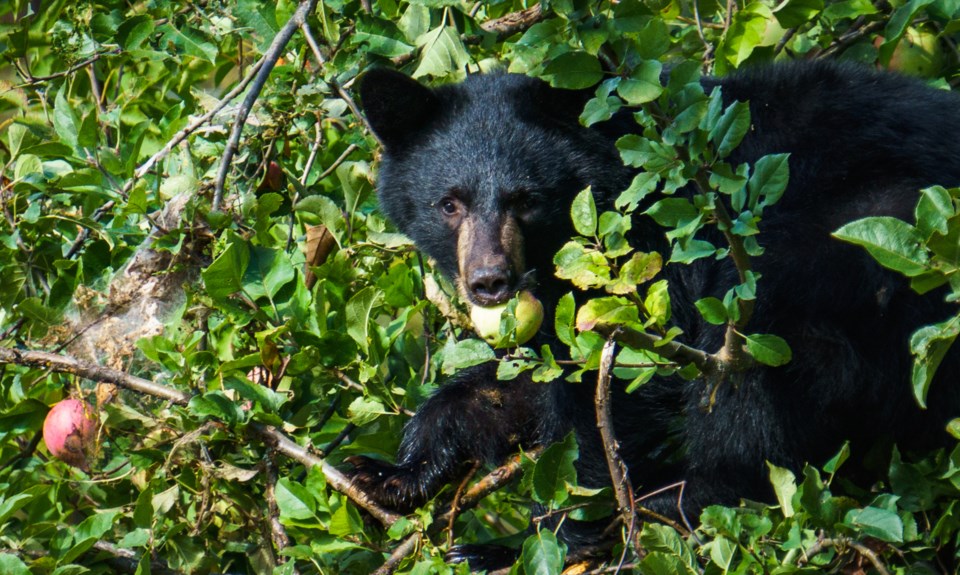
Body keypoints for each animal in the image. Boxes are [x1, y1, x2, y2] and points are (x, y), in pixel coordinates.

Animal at [348, 62, 960, 568]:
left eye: (527, 200)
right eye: (449, 204)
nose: (490, 282)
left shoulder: (652, 250)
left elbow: (621, 386)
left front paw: (547, 537)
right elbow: (526, 377)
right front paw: (392, 473)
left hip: (867, 241)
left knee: (755, 373)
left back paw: (676, 504)